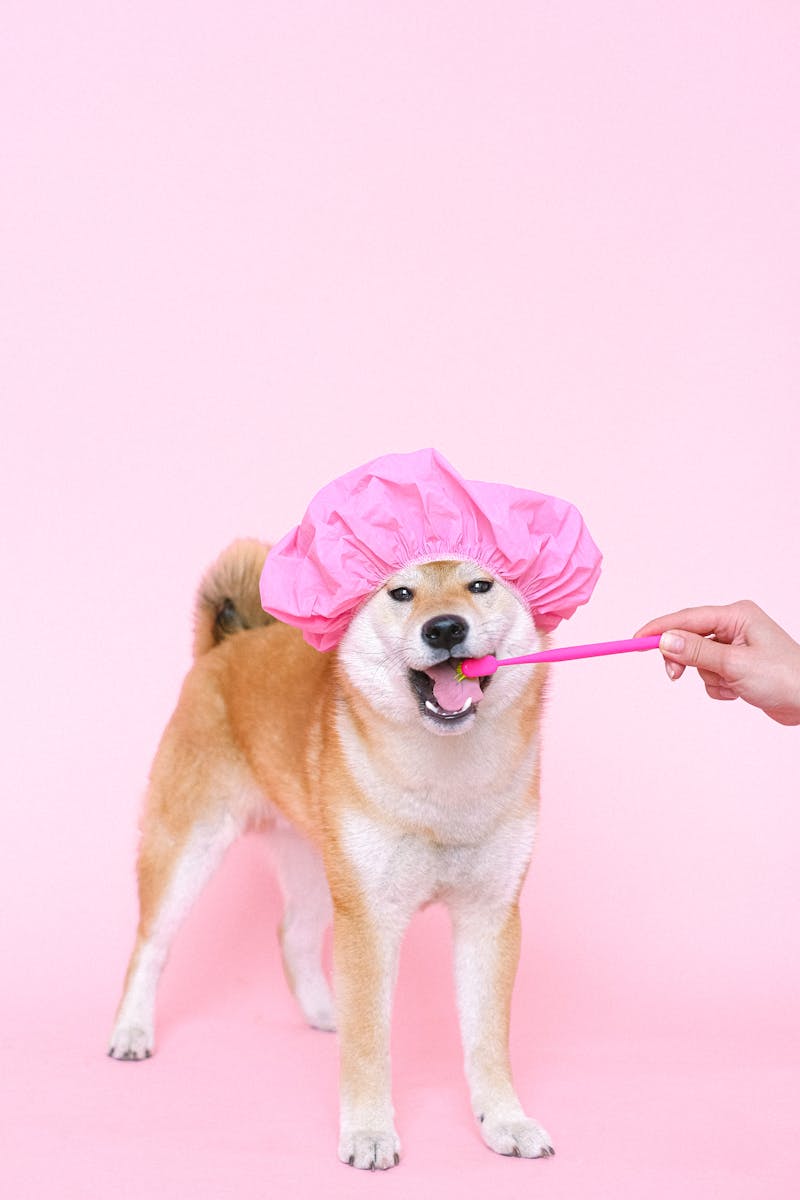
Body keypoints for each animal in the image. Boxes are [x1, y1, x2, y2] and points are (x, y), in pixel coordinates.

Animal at [109, 540, 554, 1166]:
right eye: (401, 592)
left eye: (481, 585)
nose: (445, 628)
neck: (445, 789)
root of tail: (226, 646)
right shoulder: (367, 918)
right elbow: (369, 1044)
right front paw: (367, 1132)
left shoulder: (489, 916)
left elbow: (487, 1040)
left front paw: (505, 1121)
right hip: (190, 847)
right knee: (150, 944)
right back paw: (131, 1031)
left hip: (320, 869)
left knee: (291, 934)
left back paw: (326, 1010)